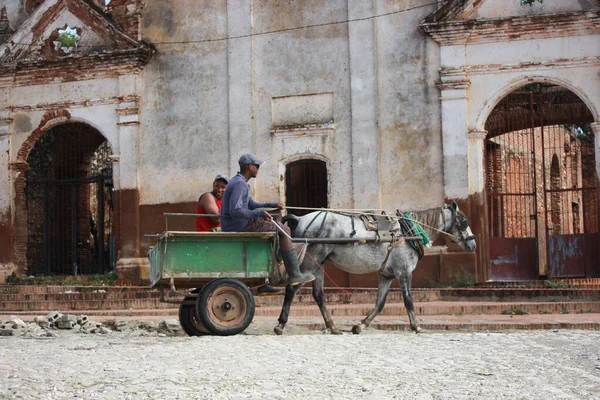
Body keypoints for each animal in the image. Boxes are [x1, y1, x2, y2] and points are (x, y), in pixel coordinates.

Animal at [274, 200, 476, 334]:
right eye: (464, 221)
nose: (473, 245)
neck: (407, 232)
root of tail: (300, 219)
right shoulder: (404, 272)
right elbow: (408, 300)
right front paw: (416, 326)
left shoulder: (386, 275)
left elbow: (380, 303)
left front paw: (360, 325)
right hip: (310, 263)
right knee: (292, 289)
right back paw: (281, 324)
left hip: (318, 264)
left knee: (318, 295)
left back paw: (332, 326)